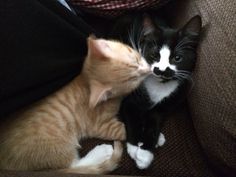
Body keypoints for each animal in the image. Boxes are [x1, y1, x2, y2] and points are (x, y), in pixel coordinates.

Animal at [0, 36, 151, 174]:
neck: (85, 82)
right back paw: (101, 153)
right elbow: (124, 130)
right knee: (74, 166)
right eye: (135, 79)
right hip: (53, 148)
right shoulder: (100, 126)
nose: (148, 70)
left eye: (136, 58)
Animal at [109, 13, 202, 169]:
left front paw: (145, 152)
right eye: (154, 55)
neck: (160, 85)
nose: (160, 70)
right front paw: (135, 148)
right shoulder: (129, 99)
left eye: (177, 58)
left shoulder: (170, 101)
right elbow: (132, 116)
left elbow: (155, 118)